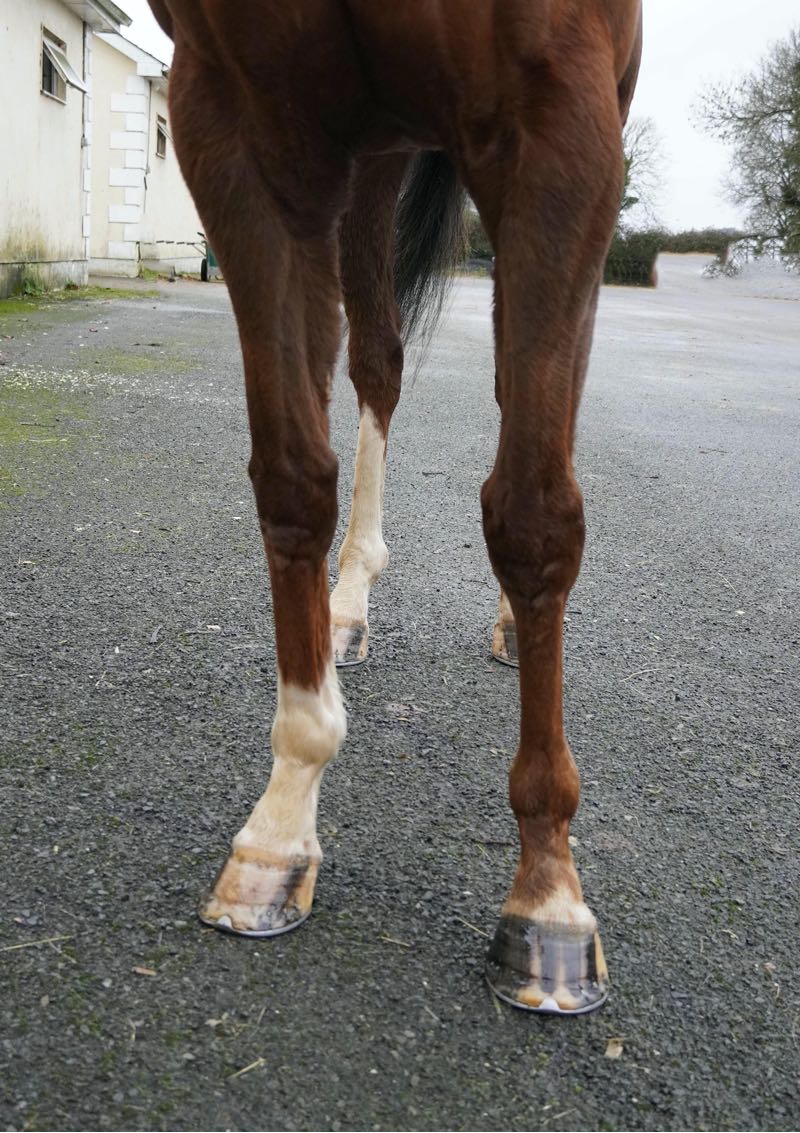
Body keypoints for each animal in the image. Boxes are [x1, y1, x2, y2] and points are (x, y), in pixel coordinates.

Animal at [147, 0, 643, 1015]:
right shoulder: (238, 115)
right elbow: (293, 475)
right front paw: (281, 822)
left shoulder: (561, 115)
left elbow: (533, 514)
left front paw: (549, 891)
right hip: (371, 160)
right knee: (377, 358)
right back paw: (346, 603)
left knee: (535, 393)